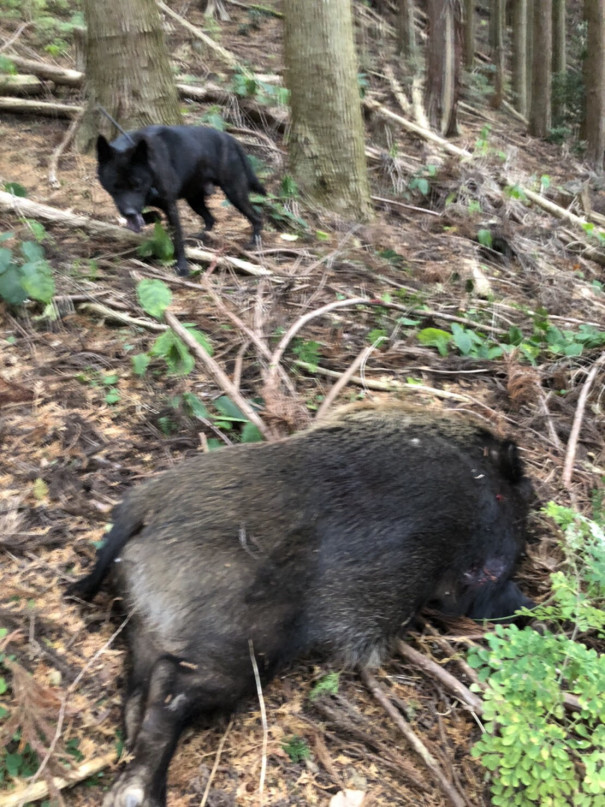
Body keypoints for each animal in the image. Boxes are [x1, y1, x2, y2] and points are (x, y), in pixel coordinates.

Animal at [97, 124, 266, 276]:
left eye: (137, 185)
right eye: (114, 187)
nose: (129, 212)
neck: (151, 170)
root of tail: (231, 139)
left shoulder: (170, 207)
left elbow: (177, 239)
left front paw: (183, 267)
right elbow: (147, 215)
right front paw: (152, 217)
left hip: (234, 194)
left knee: (257, 217)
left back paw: (254, 242)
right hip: (194, 200)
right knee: (210, 218)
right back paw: (202, 236)